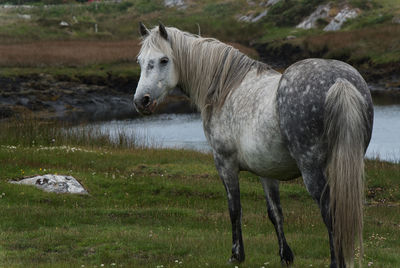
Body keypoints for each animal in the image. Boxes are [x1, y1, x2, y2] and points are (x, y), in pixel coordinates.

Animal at [133, 23, 374, 268]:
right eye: (140, 61)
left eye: (164, 60)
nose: (141, 101)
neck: (225, 89)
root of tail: (339, 81)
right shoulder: (267, 171)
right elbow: (275, 212)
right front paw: (285, 255)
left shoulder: (225, 164)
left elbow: (234, 209)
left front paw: (236, 254)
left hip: (313, 170)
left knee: (329, 213)